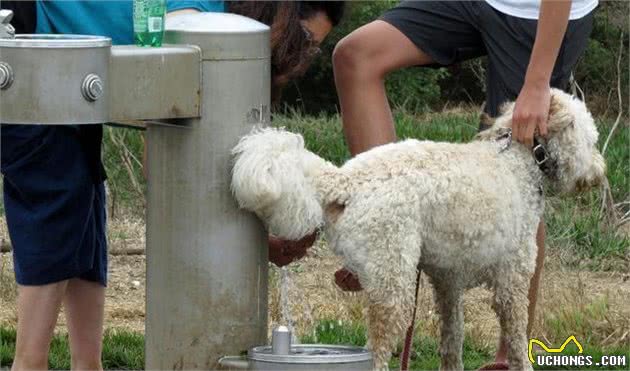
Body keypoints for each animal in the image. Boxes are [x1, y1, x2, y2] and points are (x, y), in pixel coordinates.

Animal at [232, 90, 608, 371]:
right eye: (591, 140)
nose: (600, 171)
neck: (520, 159)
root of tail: (342, 179)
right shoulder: (512, 282)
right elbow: (516, 342)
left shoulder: (447, 282)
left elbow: (452, 341)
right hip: (393, 283)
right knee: (376, 352)